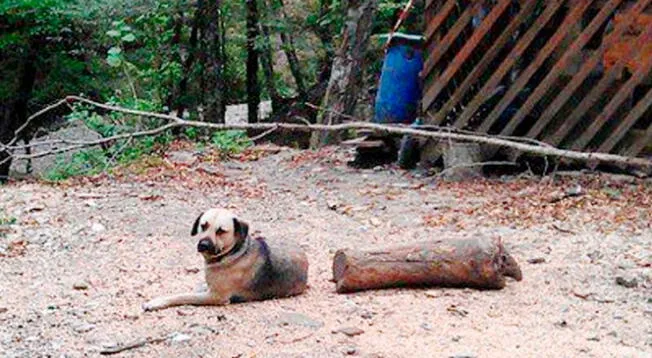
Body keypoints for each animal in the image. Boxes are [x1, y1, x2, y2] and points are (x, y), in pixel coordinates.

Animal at [142, 208, 308, 312]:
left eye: (221, 231)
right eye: (203, 225)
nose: (203, 245)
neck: (232, 254)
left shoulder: (216, 297)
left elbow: (182, 296)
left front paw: (156, 302)